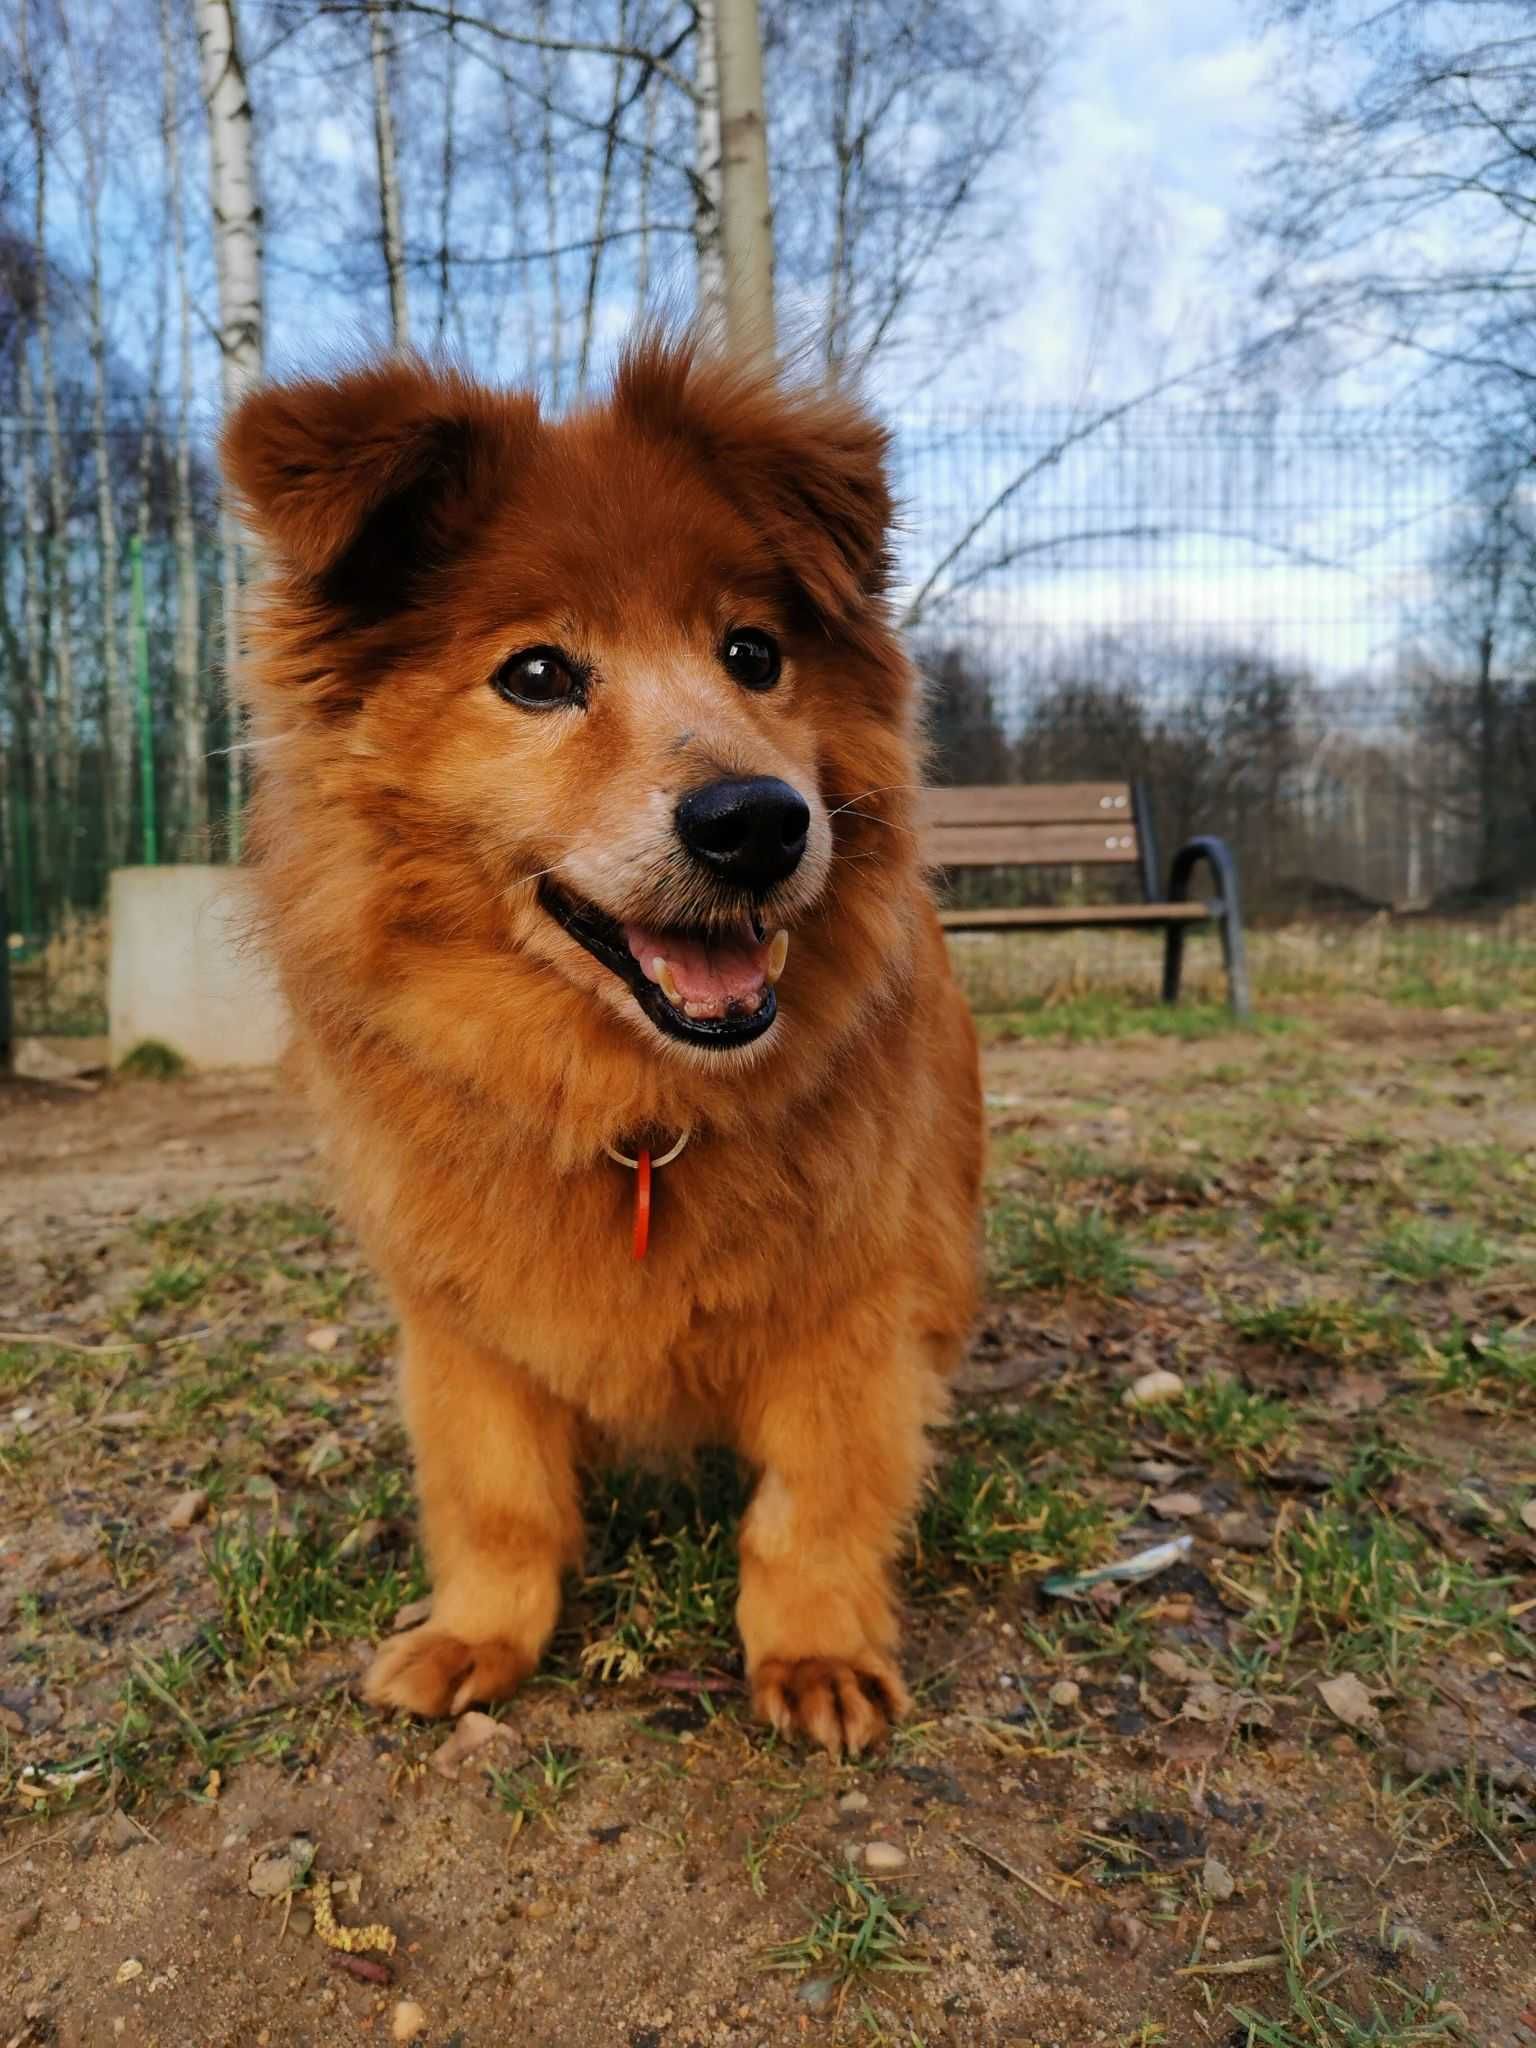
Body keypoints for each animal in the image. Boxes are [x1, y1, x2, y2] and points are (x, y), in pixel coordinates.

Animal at [219, 339, 987, 1761]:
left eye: (753, 652)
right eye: (535, 675)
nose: (759, 821)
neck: (636, 1105)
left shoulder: (851, 1307)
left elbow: (813, 1500)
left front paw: (815, 1646)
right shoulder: (459, 1319)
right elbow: (495, 1492)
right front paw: (480, 1629)